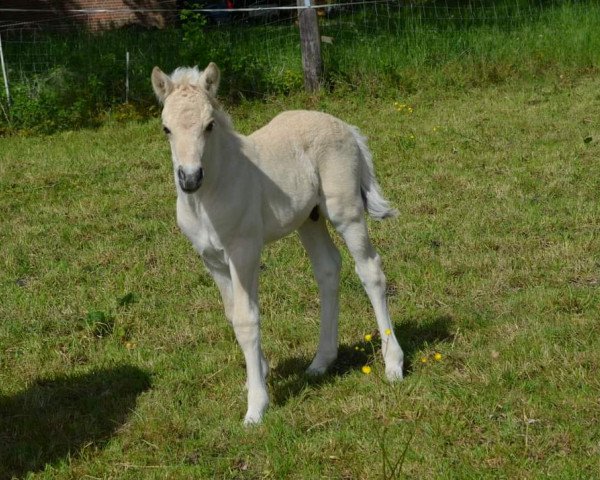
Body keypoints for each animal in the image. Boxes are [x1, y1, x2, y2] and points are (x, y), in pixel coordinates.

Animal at [151, 62, 404, 424]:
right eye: (166, 128)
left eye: (209, 126)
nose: (189, 178)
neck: (210, 194)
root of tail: (346, 127)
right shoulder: (211, 259)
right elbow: (232, 315)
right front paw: (259, 372)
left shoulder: (243, 251)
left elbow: (246, 319)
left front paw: (256, 406)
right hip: (309, 219)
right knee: (328, 269)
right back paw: (321, 362)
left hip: (346, 212)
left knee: (370, 271)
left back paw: (393, 364)